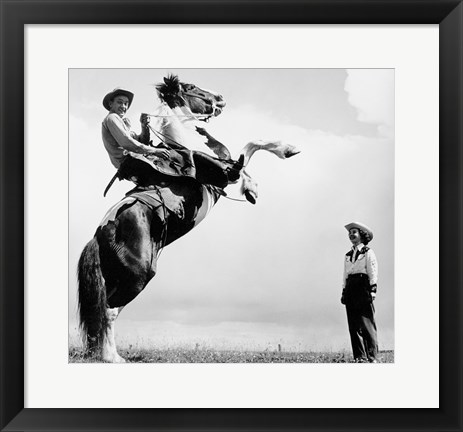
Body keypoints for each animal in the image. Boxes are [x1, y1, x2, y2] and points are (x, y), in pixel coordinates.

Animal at [77, 75, 300, 362]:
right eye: (192, 87)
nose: (220, 98)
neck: (179, 143)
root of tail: (99, 234)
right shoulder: (226, 172)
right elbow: (249, 148)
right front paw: (286, 150)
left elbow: (243, 154)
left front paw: (252, 189)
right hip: (138, 276)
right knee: (108, 311)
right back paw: (111, 357)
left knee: (103, 311)